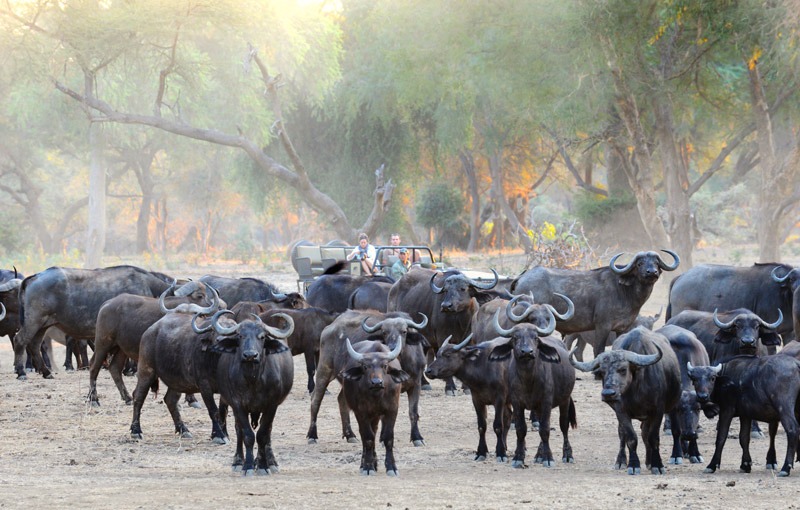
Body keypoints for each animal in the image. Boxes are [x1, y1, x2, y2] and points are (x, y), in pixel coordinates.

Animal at [340, 336, 410, 476]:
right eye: (365, 366)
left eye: (385, 366)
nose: (377, 382)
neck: (377, 396)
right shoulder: (361, 413)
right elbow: (368, 438)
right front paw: (368, 467)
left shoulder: (392, 410)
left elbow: (388, 438)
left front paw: (391, 467)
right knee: (365, 436)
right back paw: (366, 464)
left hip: (376, 416)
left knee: (375, 430)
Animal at [510, 249, 680, 360]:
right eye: (640, 263)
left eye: (656, 263)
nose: (652, 272)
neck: (623, 290)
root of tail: (521, 277)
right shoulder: (602, 326)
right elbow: (599, 350)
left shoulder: (622, 328)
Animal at [568, 326, 680, 474]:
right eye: (602, 372)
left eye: (623, 369)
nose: (608, 394)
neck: (636, 391)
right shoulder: (621, 411)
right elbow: (631, 438)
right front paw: (633, 465)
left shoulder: (658, 411)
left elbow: (653, 438)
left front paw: (657, 465)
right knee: (624, 435)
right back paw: (621, 461)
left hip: (671, 406)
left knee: (659, 432)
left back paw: (658, 460)